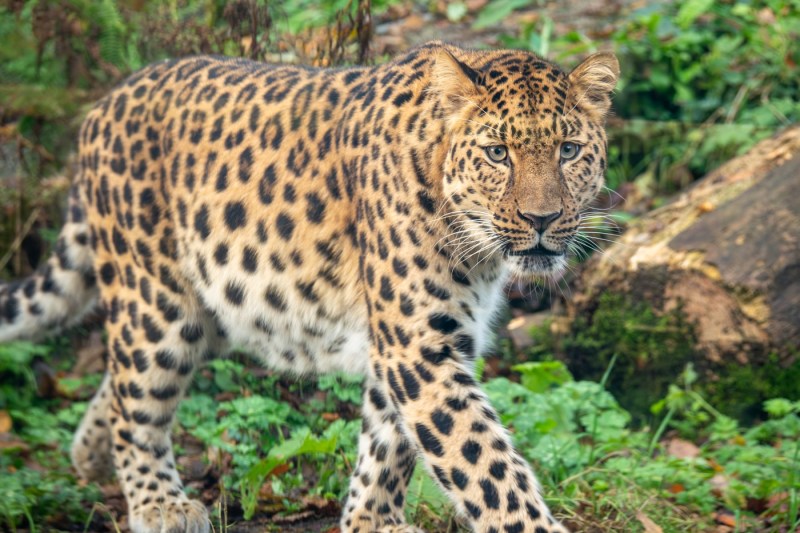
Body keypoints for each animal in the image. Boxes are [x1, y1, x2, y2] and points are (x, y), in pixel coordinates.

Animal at [0, 41, 619, 533]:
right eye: (498, 153)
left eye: (568, 151)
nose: (542, 219)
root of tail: (104, 104)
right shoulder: (419, 345)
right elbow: (483, 462)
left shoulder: (418, 341)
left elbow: (388, 440)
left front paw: (371, 520)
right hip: (158, 301)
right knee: (138, 396)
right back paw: (159, 504)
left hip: (214, 305)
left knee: (121, 378)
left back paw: (90, 455)